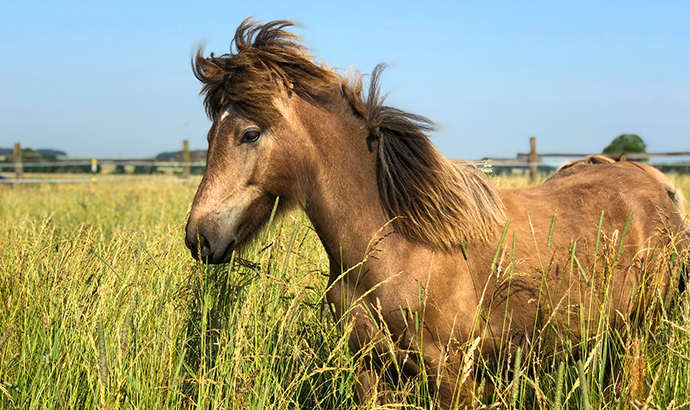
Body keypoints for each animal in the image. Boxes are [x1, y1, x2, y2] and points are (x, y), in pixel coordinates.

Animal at [185, 19, 684, 406]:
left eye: (250, 134)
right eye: (209, 135)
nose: (199, 237)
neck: (397, 246)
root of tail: (659, 184)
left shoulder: (452, 377)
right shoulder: (370, 371)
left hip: (637, 339)